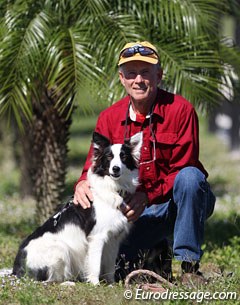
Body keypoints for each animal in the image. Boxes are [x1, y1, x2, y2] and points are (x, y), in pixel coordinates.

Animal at [13, 131, 142, 282]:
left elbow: (110, 267)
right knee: (45, 281)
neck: (113, 188)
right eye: (109, 157)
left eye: (124, 156)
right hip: (61, 248)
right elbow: (95, 265)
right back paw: (68, 283)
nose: (115, 169)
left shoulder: (113, 239)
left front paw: (111, 284)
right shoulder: (96, 238)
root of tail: (17, 269)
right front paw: (94, 283)